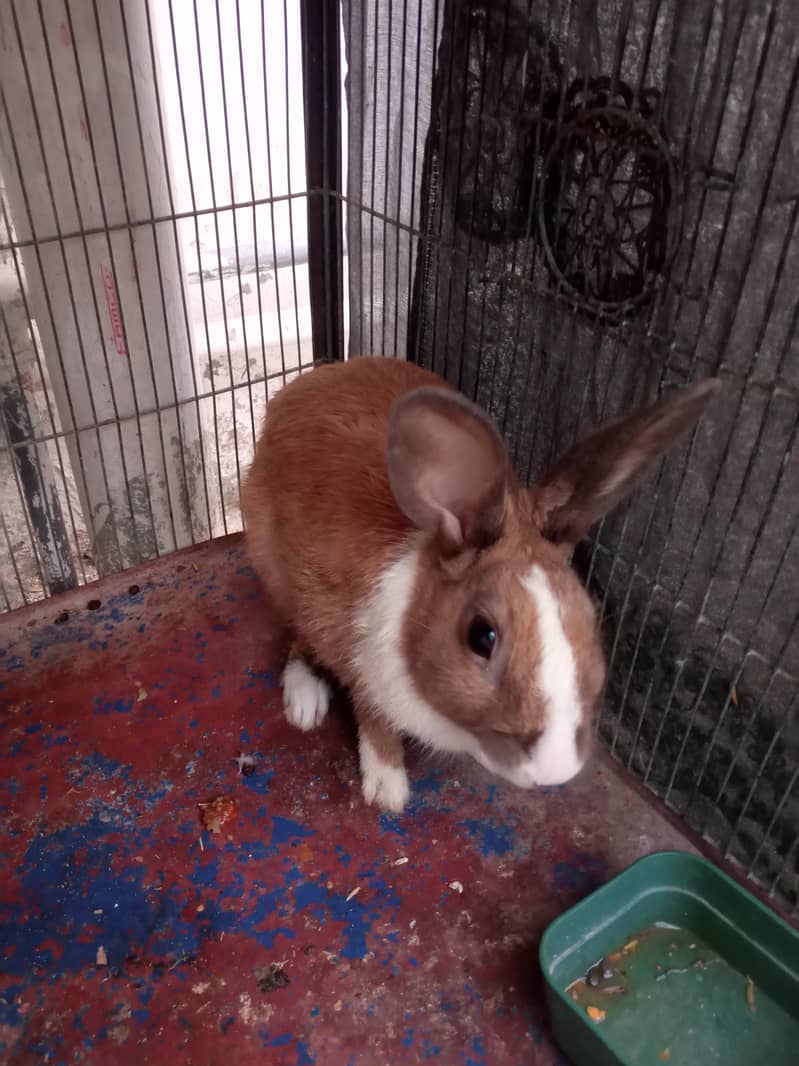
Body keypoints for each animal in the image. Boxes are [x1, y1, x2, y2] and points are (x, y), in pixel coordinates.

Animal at [241, 357, 719, 812]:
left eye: (591, 620)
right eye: (481, 636)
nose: (555, 770)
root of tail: (310, 381)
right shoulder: (361, 665)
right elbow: (374, 721)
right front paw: (388, 789)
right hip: (277, 574)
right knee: (299, 635)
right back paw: (305, 703)